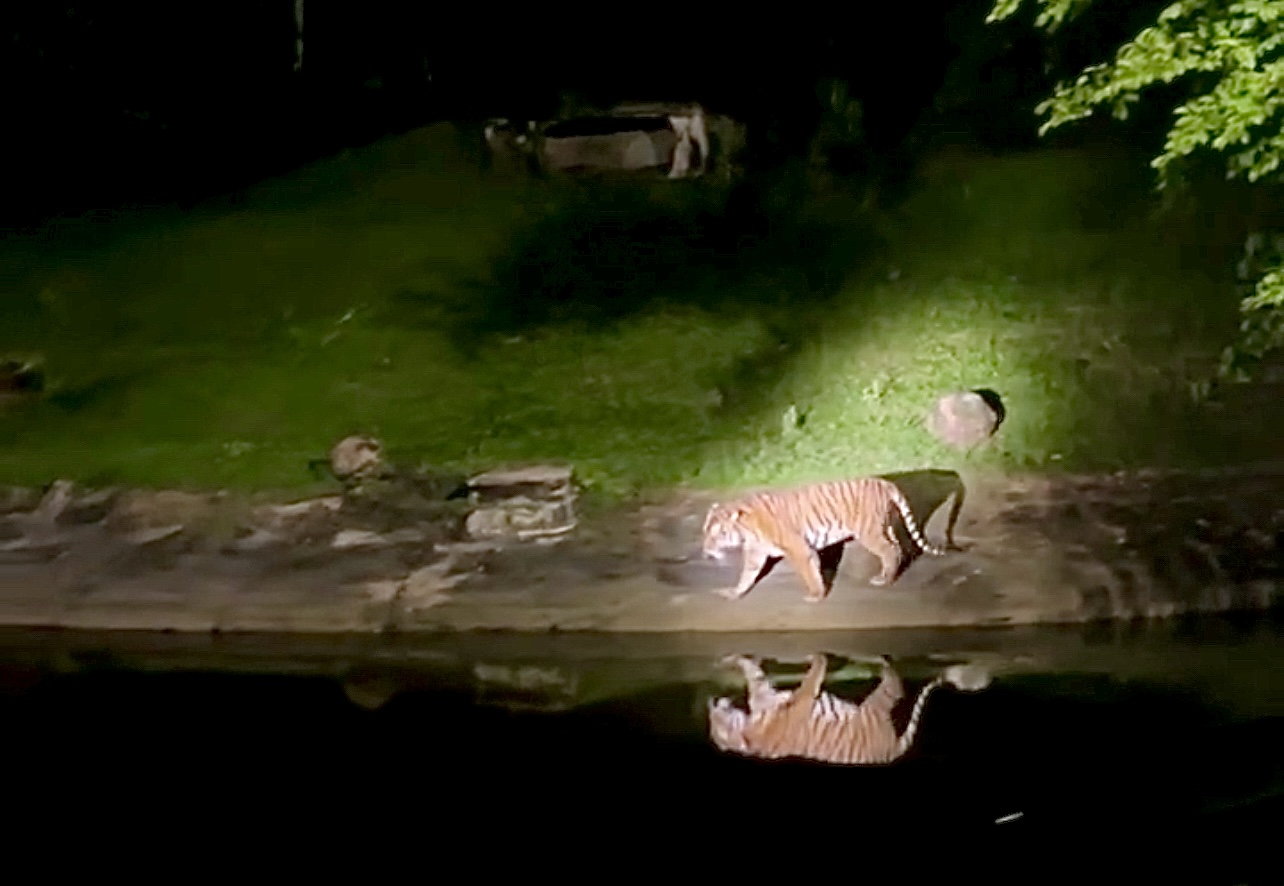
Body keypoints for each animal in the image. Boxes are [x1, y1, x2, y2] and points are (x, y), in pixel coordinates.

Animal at [701, 475, 959, 602]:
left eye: (716, 534)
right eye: (705, 532)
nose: (706, 551)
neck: (746, 528)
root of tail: (886, 483)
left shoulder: (798, 550)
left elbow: (808, 572)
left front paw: (816, 595)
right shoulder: (756, 553)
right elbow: (747, 576)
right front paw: (734, 593)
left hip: (869, 531)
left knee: (890, 550)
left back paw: (884, 580)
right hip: (883, 525)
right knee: (896, 546)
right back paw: (889, 575)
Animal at [707, 653, 991, 766]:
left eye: (713, 721)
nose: (712, 703)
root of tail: (889, 753)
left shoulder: (763, 693)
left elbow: (753, 674)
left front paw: (732, 660)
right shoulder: (799, 702)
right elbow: (811, 679)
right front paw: (819, 657)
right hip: (877, 704)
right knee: (894, 681)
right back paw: (874, 660)